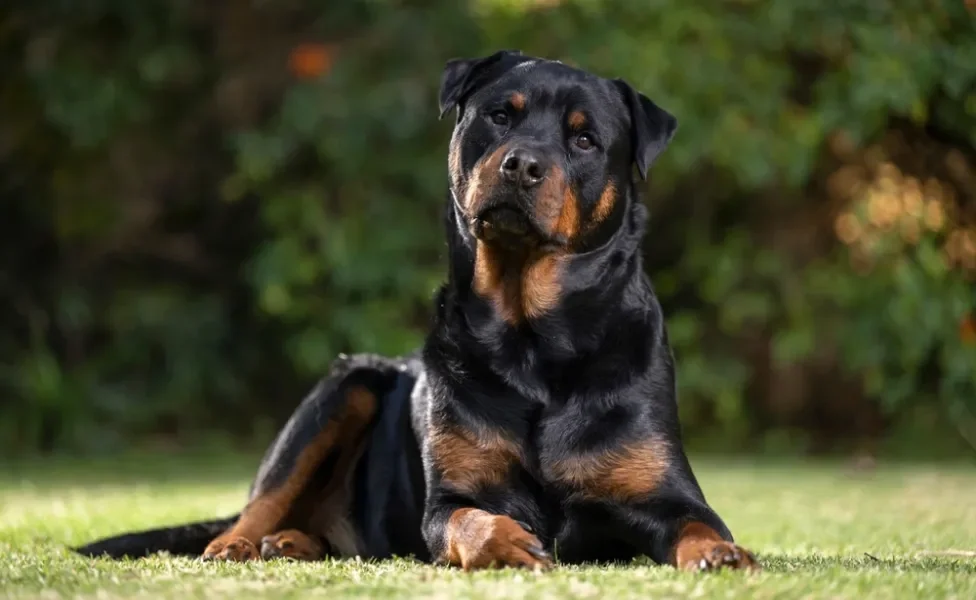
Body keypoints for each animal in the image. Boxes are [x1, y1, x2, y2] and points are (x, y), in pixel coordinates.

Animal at [78, 51, 764, 572]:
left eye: (585, 138)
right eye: (499, 115)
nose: (522, 163)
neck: (534, 339)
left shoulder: (665, 494)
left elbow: (701, 524)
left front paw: (722, 554)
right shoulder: (453, 495)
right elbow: (467, 521)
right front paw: (508, 543)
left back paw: (293, 542)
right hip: (344, 386)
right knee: (262, 501)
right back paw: (243, 543)